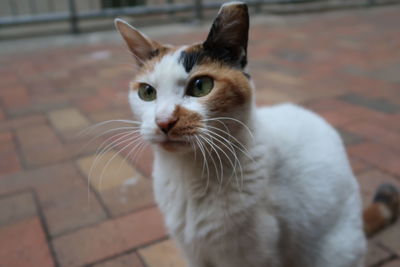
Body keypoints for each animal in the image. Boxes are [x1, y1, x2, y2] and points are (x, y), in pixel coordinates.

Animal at [114, 2, 398, 267]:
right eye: (147, 92)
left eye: (201, 86)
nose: (163, 121)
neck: (187, 175)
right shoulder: (194, 253)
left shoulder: (252, 255)